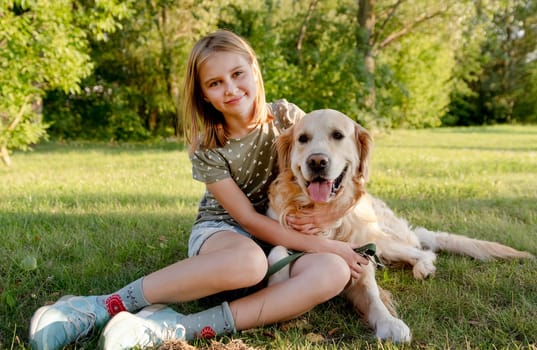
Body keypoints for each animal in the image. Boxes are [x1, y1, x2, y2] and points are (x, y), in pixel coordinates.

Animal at [266, 108, 528, 342]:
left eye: (338, 135)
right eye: (302, 139)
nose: (317, 161)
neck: (323, 213)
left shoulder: (360, 256)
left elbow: (373, 296)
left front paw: (390, 323)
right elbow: (277, 250)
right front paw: (278, 286)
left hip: (382, 241)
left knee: (424, 252)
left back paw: (423, 269)